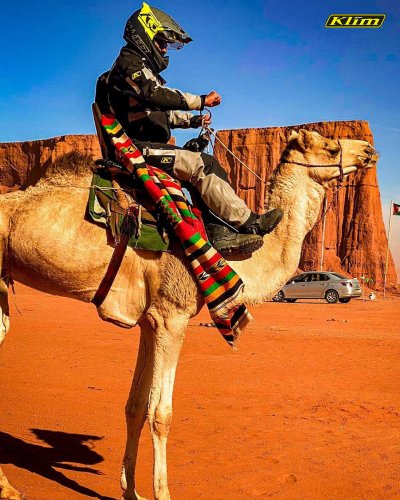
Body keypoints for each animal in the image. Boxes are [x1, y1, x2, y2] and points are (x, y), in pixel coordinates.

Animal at [0, 129, 377, 500]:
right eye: (330, 147)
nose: (368, 150)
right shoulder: (173, 316)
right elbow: (160, 413)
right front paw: (161, 493)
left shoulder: (150, 321)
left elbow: (135, 406)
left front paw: (131, 491)